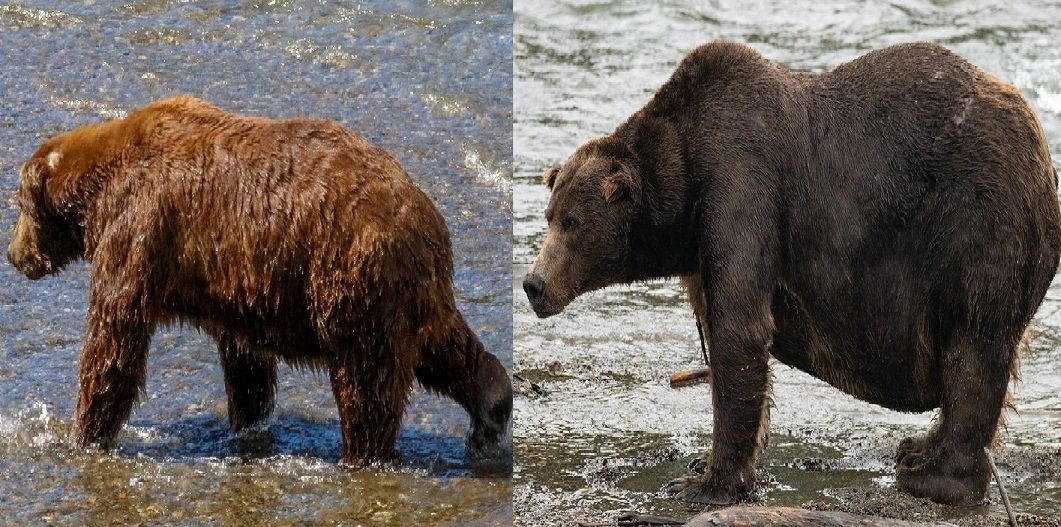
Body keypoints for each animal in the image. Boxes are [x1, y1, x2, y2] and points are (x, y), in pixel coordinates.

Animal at [7, 94, 513, 464]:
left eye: (20, 205)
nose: (14, 254)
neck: (98, 192)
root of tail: (425, 218)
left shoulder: (138, 230)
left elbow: (113, 342)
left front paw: (83, 434)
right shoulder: (237, 286)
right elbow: (245, 362)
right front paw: (247, 421)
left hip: (351, 277)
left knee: (366, 383)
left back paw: (359, 454)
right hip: (412, 292)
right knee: (447, 348)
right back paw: (490, 410)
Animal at [522, 42, 1061, 504]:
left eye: (572, 222)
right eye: (550, 215)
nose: (533, 284)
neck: (685, 186)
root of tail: (1041, 147)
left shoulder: (743, 187)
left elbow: (739, 332)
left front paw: (701, 482)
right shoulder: (702, 244)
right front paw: (719, 464)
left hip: (976, 221)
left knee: (974, 345)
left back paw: (934, 477)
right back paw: (917, 447)